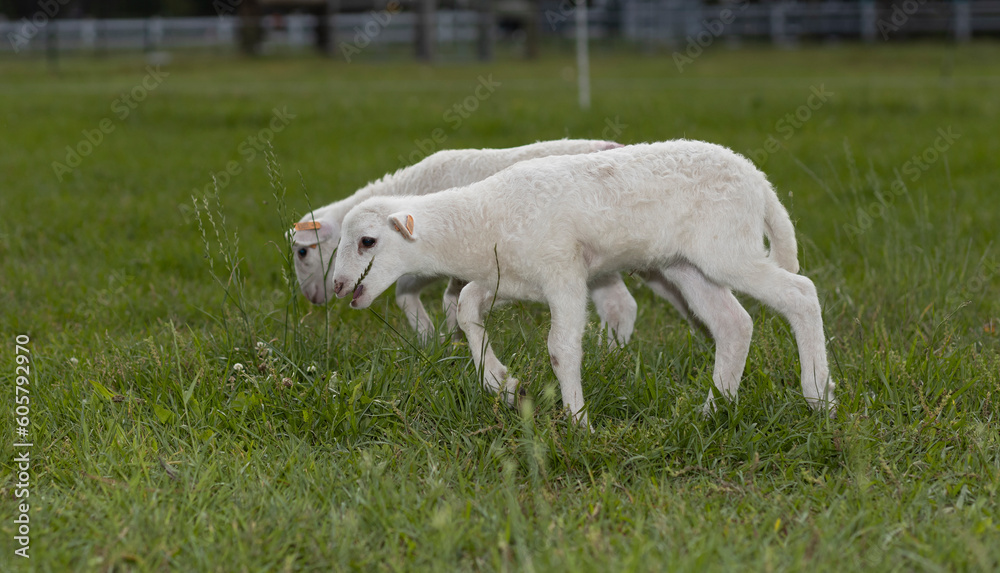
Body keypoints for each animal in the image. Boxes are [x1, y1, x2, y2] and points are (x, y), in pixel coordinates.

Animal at [291, 138, 639, 345]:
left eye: (303, 251)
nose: (313, 298)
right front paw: (442, 340)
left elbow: (415, 292)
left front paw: (438, 339)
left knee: (620, 304)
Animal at [330, 140, 836, 426]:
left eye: (367, 241)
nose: (336, 287)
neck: (483, 218)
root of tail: (758, 179)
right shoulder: (510, 279)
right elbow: (465, 309)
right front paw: (503, 384)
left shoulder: (564, 274)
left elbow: (561, 348)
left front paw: (578, 423)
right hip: (686, 264)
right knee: (734, 325)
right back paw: (712, 411)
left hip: (726, 248)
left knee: (801, 294)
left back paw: (819, 399)